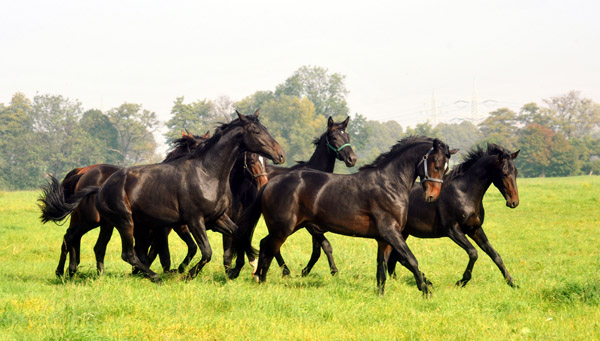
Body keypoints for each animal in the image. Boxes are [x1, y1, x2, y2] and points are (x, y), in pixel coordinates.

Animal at [234, 135, 454, 294]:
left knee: (265, 244)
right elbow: (410, 259)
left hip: (292, 226)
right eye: (435, 164)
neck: (389, 184)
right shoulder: (391, 232)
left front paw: (380, 293)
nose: (432, 196)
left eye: (446, 168)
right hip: (283, 228)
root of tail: (269, 183)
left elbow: (381, 267)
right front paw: (426, 290)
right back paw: (262, 280)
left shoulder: (383, 238)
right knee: (269, 247)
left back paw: (259, 278)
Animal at [384, 142, 520, 286]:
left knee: (394, 258)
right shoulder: (452, 229)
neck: (464, 193)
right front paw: (462, 281)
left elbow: (495, 255)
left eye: (516, 172)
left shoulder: (475, 229)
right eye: (504, 173)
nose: (514, 202)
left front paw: (512, 283)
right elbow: (473, 252)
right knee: (397, 258)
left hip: (404, 233)